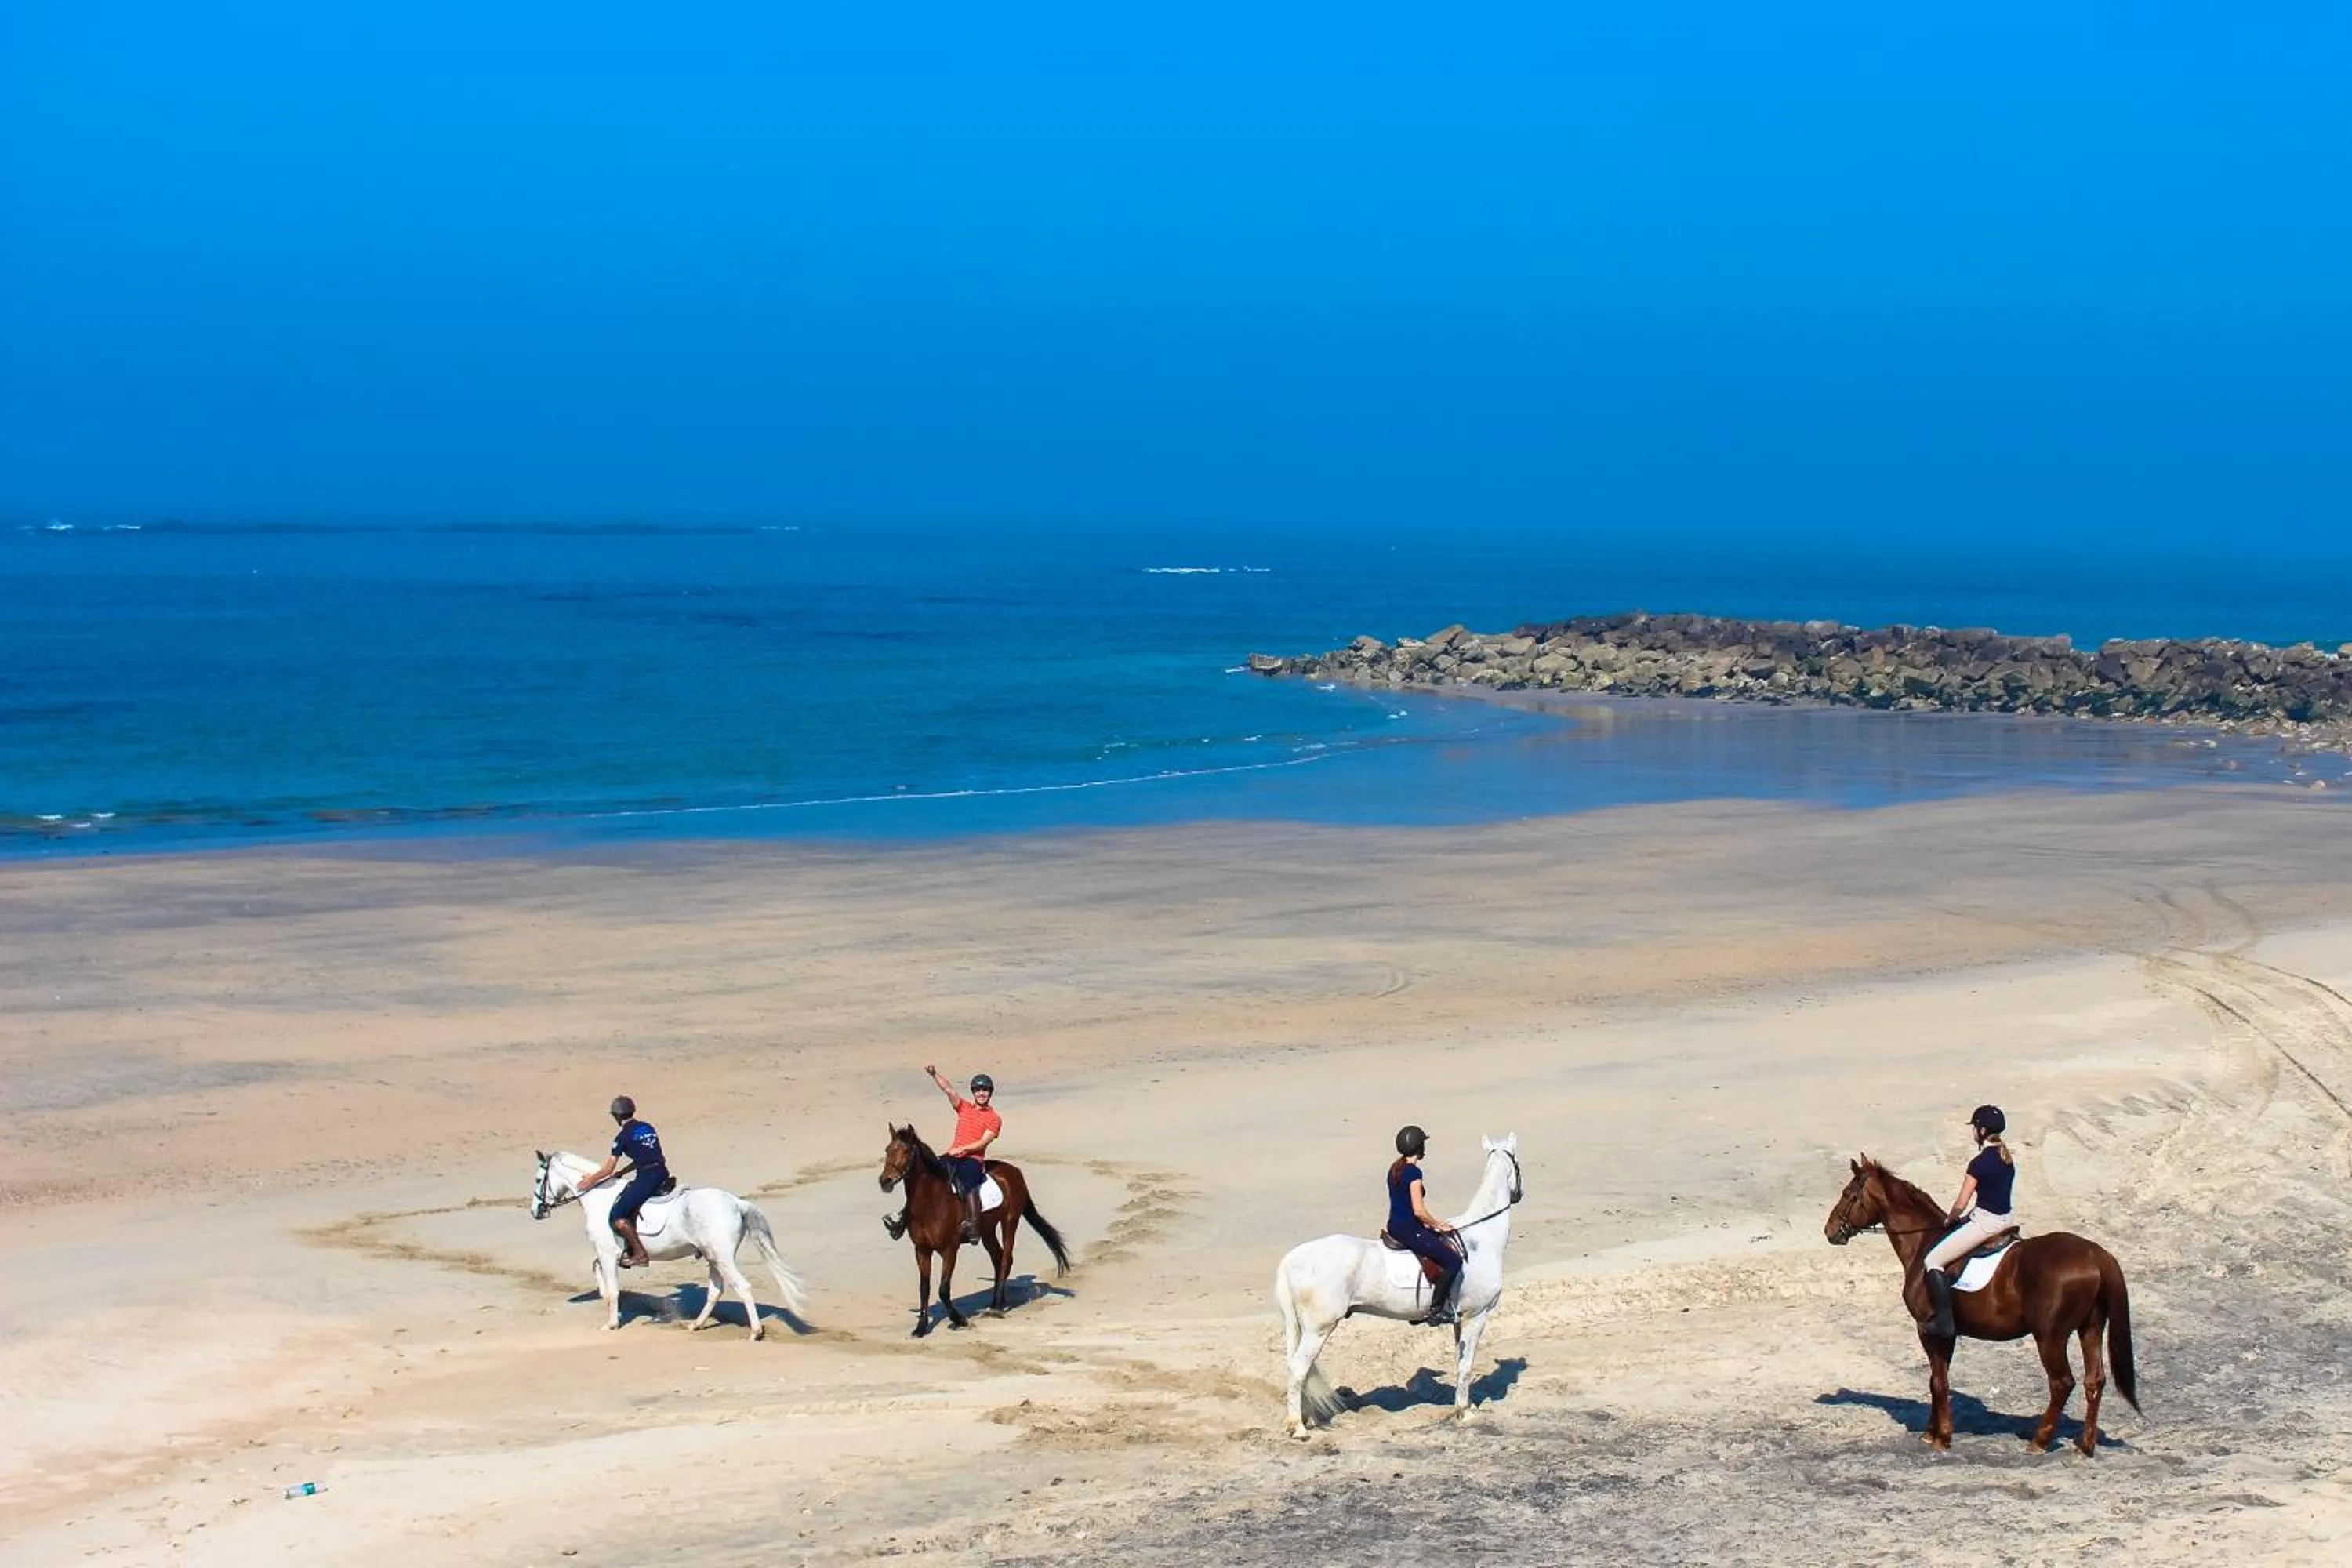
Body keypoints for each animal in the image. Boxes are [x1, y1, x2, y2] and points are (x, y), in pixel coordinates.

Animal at [530, 1150, 808, 1339]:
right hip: (713, 1257)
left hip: (722, 1257)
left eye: (537, 1179)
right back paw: (696, 1325)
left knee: (742, 1287)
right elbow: (596, 1269)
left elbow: (613, 1289)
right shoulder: (608, 1255)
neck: (599, 1197)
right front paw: (603, 1296)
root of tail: (737, 1203)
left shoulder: (608, 1253)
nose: (536, 1212)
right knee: (715, 1291)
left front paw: (611, 1323)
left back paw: (755, 1332)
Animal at [879, 1124, 1073, 1337]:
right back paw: (997, 1301)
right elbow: (924, 1288)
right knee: (998, 1258)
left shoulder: (950, 1250)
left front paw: (960, 1319)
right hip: (987, 1230)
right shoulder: (922, 1250)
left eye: (906, 1151)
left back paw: (996, 1308)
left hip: (1010, 1221)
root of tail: (1014, 1171)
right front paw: (921, 1327)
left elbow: (943, 1290)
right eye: (887, 1150)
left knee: (1006, 1259)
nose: (885, 1181)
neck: (931, 1202)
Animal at [1273, 1132, 1522, 1439]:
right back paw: (1298, 1428)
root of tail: (1292, 1258)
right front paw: (1465, 1413)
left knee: (1303, 1372)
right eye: (1518, 1163)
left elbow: (1460, 1361)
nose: (1519, 1194)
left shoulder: (1460, 1320)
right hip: (1319, 1328)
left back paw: (1306, 1420)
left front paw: (1464, 1406)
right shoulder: (1477, 1315)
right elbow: (1466, 1366)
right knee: (1299, 1369)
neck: (1479, 1240)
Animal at [1825, 1155, 2139, 1453]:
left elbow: (1938, 1381)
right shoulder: (1948, 1334)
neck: (1924, 1242)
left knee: (2062, 1383)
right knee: (2094, 1380)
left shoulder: (1928, 1329)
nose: (1829, 1231)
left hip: (2050, 1336)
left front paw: (1942, 1437)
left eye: (1847, 1193)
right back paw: (2086, 1445)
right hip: (2091, 1328)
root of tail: (2096, 1255)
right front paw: (1932, 1432)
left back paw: (2039, 1442)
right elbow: (1938, 1379)